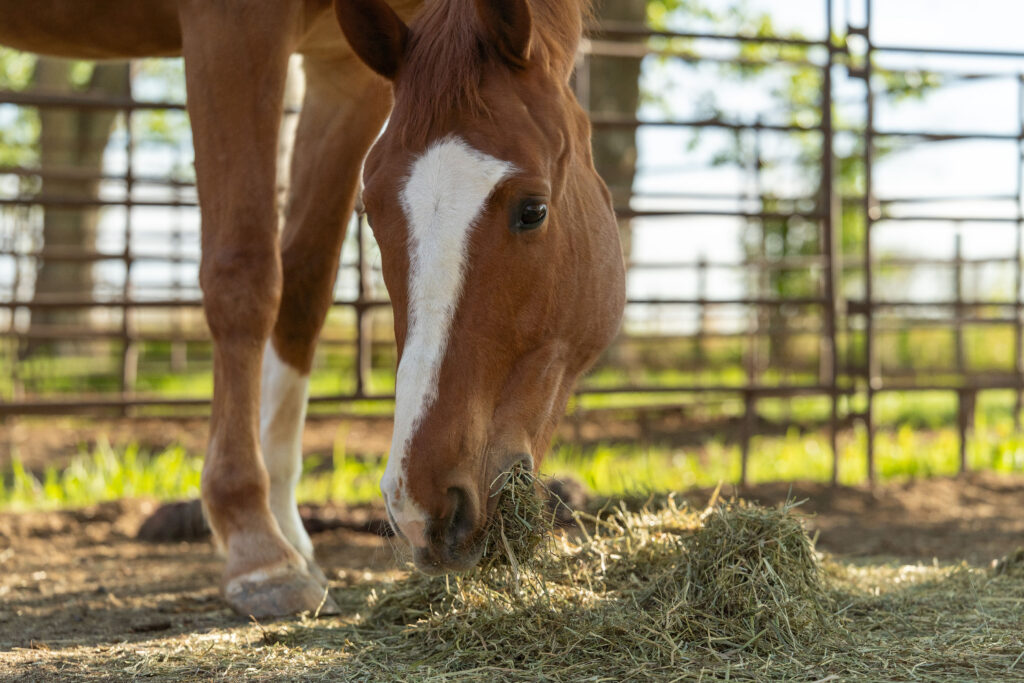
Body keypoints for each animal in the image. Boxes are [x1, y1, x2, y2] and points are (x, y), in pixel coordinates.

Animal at [0, 0, 625, 617]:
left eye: (533, 210)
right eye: (372, 213)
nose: (421, 509)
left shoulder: (342, 73)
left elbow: (302, 287)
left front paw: (285, 525)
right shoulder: (230, 24)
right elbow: (245, 275)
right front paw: (256, 543)